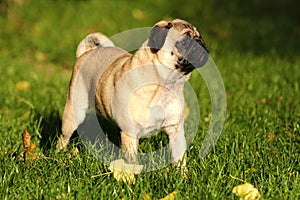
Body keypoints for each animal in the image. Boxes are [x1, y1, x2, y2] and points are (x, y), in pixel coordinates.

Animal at [57, 18, 210, 166]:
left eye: (200, 36)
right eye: (184, 42)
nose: (201, 43)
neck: (165, 85)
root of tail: (86, 53)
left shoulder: (175, 132)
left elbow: (180, 159)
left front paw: (181, 174)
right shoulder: (130, 135)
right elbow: (132, 162)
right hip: (73, 113)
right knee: (63, 138)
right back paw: (59, 155)